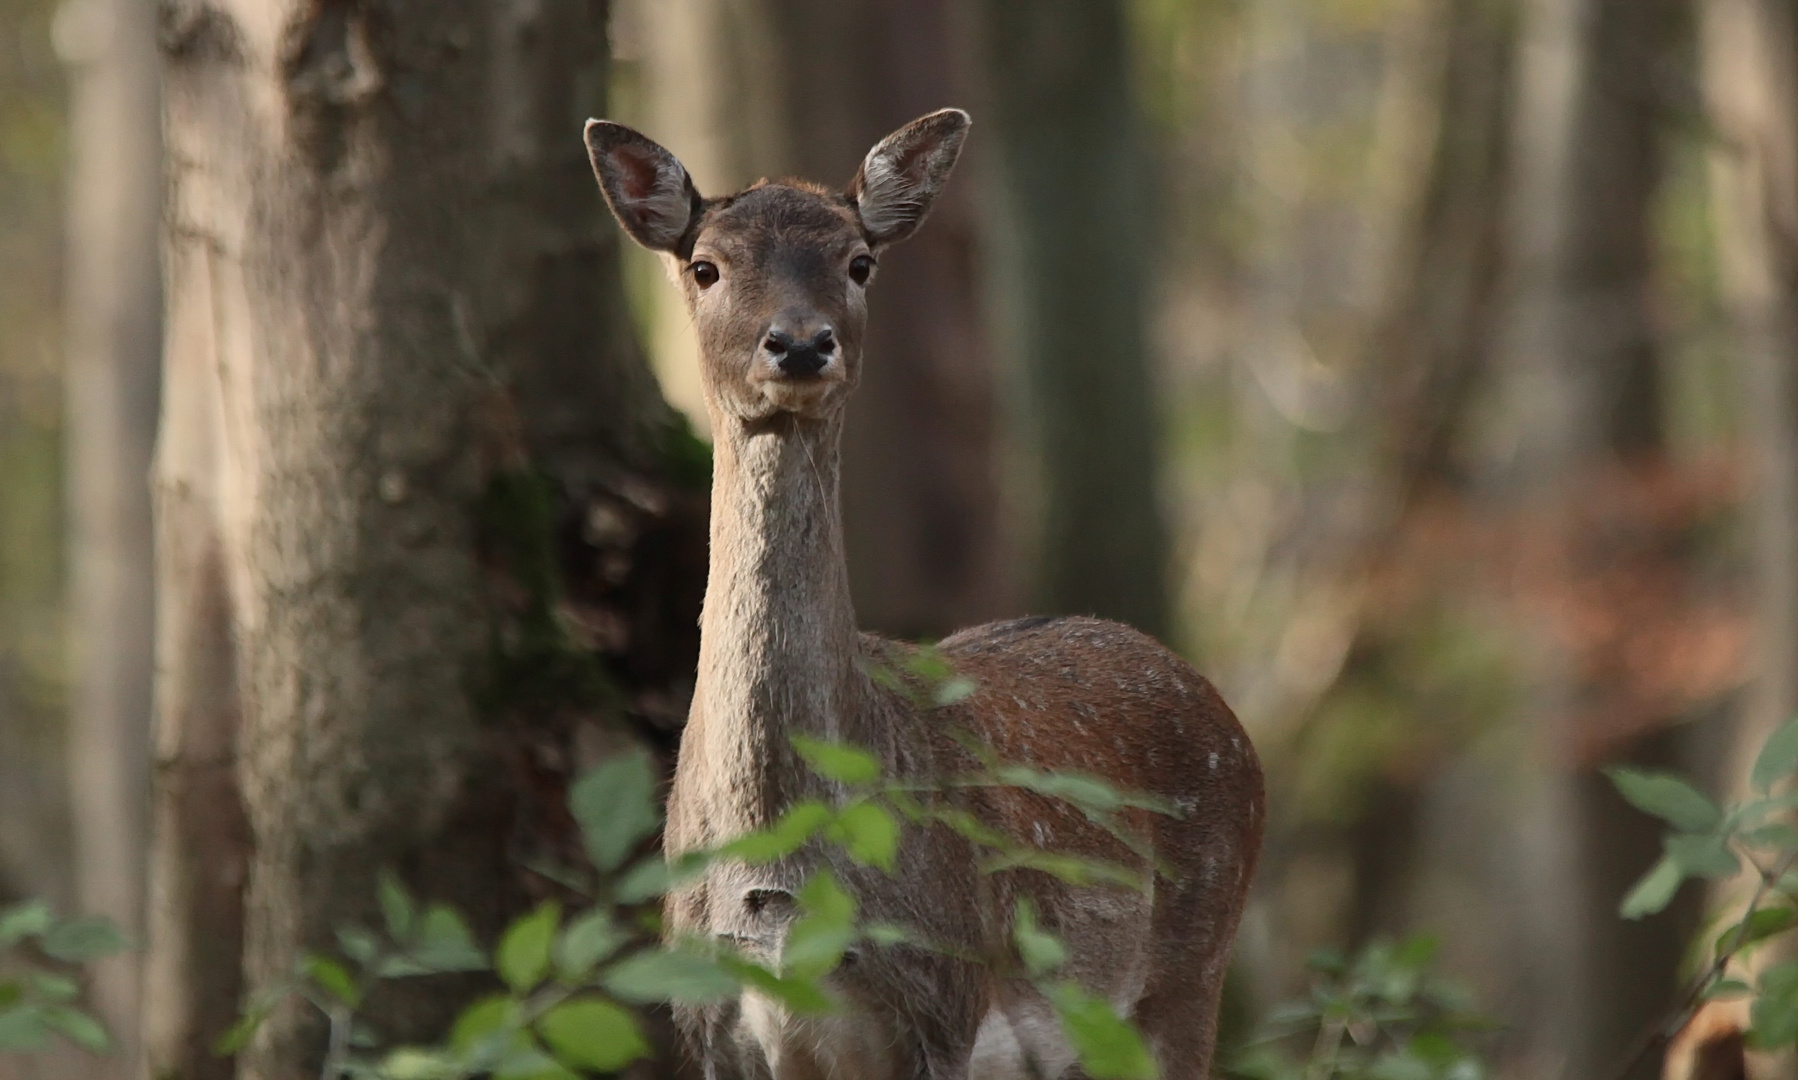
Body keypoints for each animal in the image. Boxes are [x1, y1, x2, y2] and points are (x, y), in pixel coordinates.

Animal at [589, 107, 1265, 1078]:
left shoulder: (941, 995)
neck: (779, 887)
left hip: (1189, 971)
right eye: (705, 264)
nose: (801, 342)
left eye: (858, 262)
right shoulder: (703, 1013)